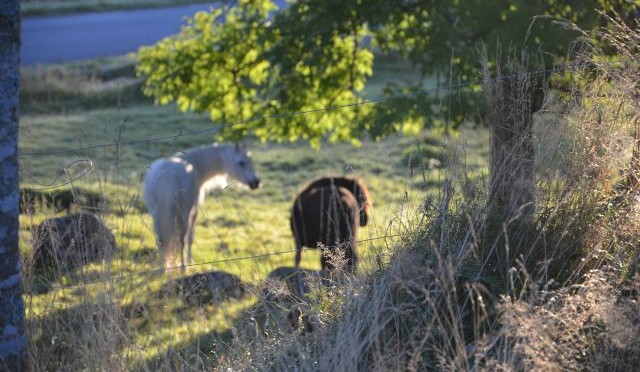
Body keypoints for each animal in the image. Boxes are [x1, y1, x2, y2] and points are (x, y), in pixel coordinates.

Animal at [144, 144, 260, 272]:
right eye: (241, 163)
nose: (256, 182)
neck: (195, 167)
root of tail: (165, 173)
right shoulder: (194, 211)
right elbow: (190, 238)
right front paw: (190, 262)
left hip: (156, 215)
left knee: (161, 241)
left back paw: (163, 270)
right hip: (182, 215)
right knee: (181, 240)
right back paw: (183, 268)